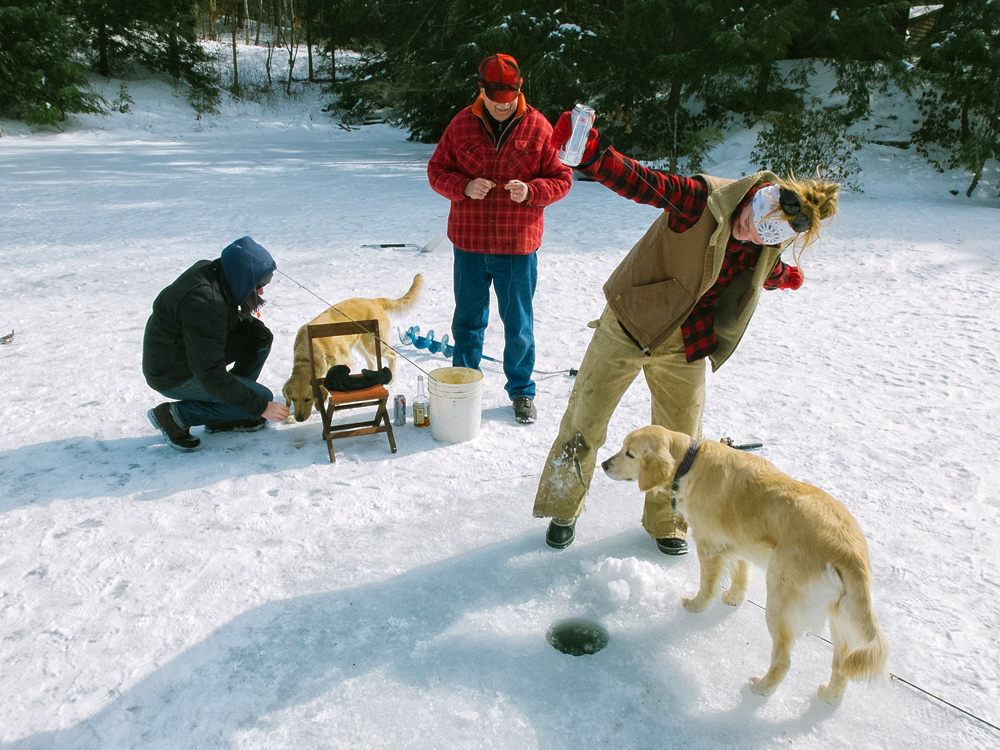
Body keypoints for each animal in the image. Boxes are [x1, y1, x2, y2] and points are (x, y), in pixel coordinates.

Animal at [282, 274, 422, 424]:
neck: (309, 355)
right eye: (293, 399)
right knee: (372, 360)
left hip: (372, 344)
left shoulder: (344, 362)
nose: (299, 418)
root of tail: (373, 301)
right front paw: (291, 415)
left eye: (307, 399)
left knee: (392, 354)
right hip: (360, 344)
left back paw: (390, 379)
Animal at [600, 426, 892, 708]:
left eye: (629, 453)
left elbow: (707, 585)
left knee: (783, 660)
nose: (603, 464)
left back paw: (761, 688)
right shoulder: (737, 544)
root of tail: (850, 551)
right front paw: (733, 598)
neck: (690, 463)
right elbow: (740, 575)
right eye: (622, 448)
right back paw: (830, 696)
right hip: (840, 622)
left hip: (779, 601)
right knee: (842, 665)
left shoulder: (708, 545)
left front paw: (696, 605)